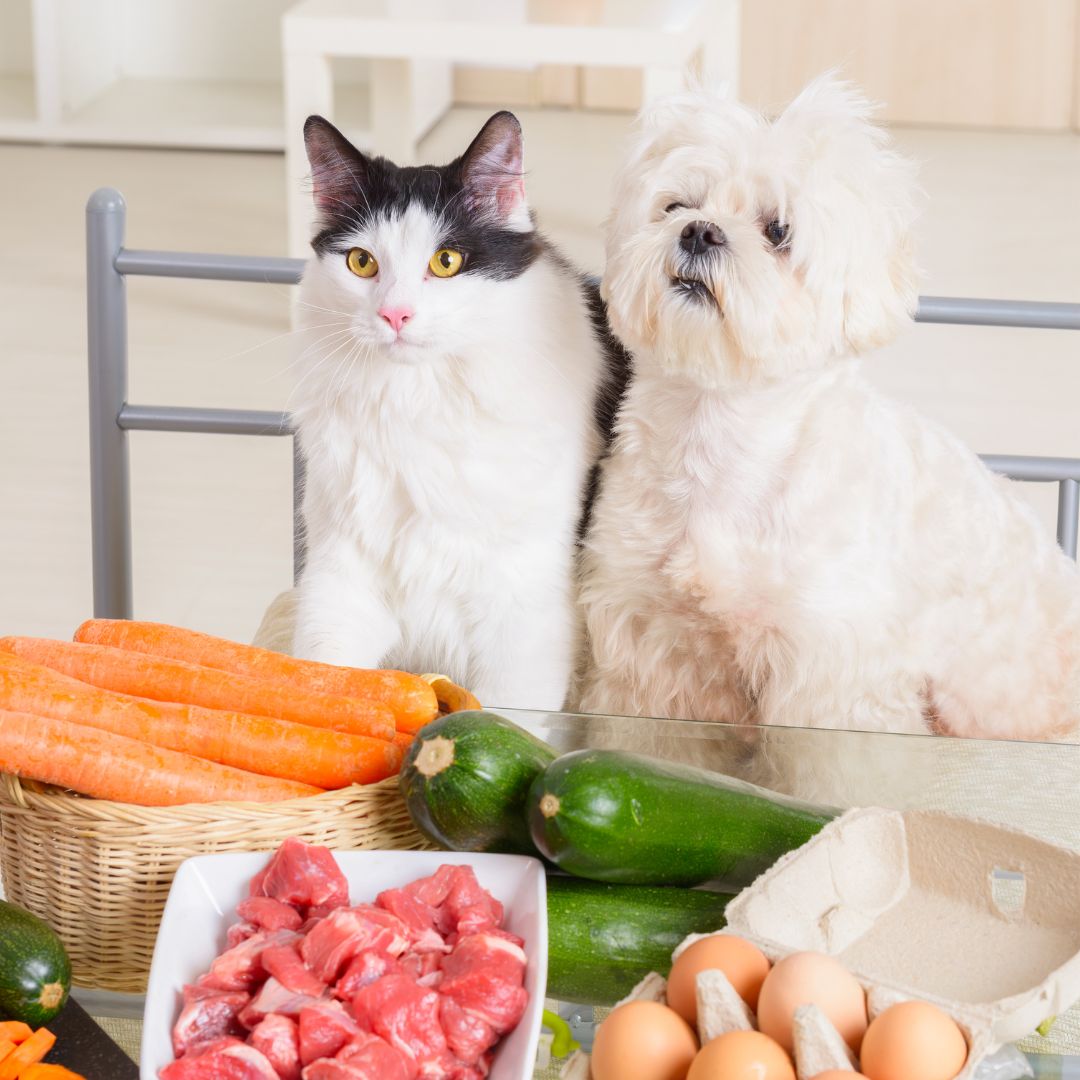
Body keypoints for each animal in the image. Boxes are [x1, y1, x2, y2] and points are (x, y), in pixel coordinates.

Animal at [291, 113, 630, 712]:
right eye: (361, 262)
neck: (419, 404)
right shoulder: (338, 579)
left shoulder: (524, 615)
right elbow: (327, 677)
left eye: (445, 262)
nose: (395, 314)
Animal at [578, 73, 1080, 794]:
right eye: (677, 204)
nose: (699, 232)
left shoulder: (832, 674)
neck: (720, 440)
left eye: (778, 230)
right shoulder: (659, 652)